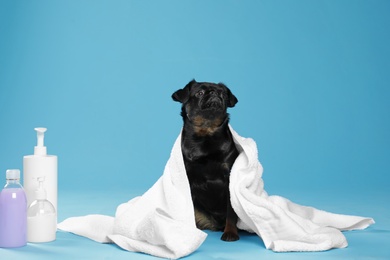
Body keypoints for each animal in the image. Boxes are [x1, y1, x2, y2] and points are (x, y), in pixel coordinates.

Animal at [172, 79, 239, 242]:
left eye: (223, 94)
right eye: (200, 93)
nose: (215, 93)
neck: (206, 133)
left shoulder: (229, 179)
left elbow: (231, 212)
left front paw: (230, 232)